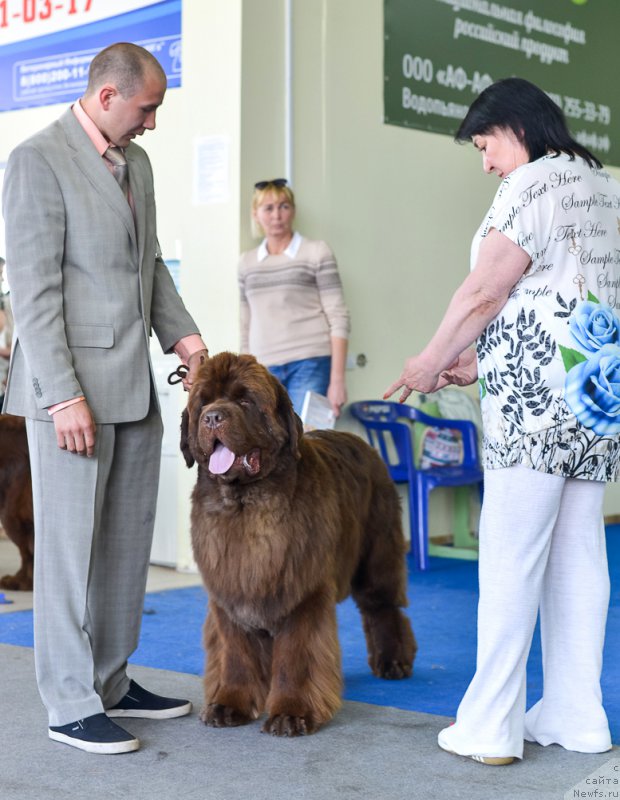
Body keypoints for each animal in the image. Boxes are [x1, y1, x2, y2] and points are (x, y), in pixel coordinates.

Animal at [182, 352, 418, 736]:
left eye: (245, 401)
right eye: (203, 402)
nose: (213, 417)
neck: (245, 505)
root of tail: (360, 441)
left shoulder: (301, 592)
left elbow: (297, 655)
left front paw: (292, 713)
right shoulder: (230, 593)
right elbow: (236, 654)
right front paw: (228, 704)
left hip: (377, 553)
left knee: (382, 607)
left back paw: (393, 661)